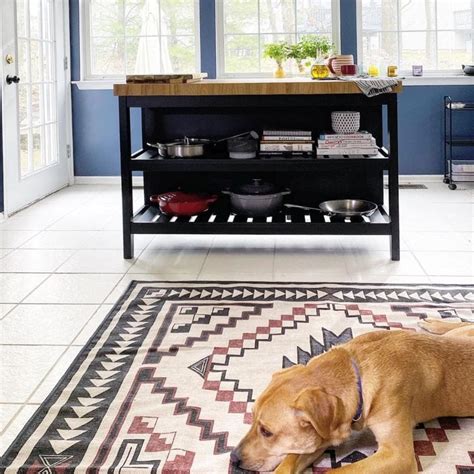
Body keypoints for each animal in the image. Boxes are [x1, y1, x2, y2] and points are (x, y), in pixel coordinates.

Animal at [232, 320, 474, 472]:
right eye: (251, 418)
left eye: (267, 432)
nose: (233, 459)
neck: (357, 372)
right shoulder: (322, 436)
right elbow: (290, 461)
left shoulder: (398, 455)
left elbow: (335, 472)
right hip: (460, 334)